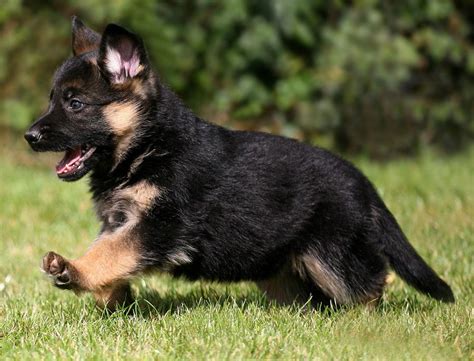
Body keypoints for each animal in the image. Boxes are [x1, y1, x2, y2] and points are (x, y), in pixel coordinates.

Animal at [24, 17, 454, 310]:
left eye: (75, 103)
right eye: (52, 99)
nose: (30, 136)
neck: (150, 148)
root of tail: (363, 182)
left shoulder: (160, 225)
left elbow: (111, 253)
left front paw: (74, 271)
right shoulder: (121, 221)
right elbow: (110, 251)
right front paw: (110, 297)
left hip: (333, 255)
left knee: (369, 284)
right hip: (283, 267)